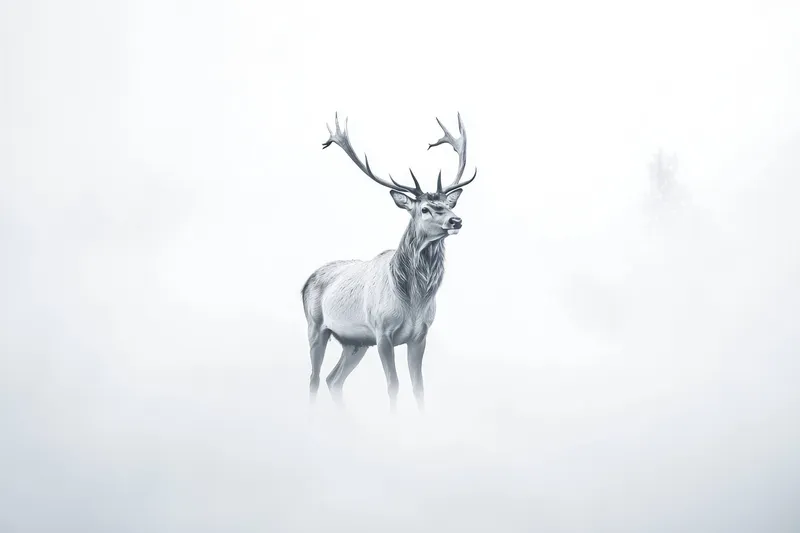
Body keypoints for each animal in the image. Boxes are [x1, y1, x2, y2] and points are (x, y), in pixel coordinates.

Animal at [301, 112, 477, 412]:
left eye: (448, 204)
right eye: (425, 209)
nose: (456, 220)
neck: (414, 299)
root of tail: (307, 280)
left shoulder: (420, 335)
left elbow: (419, 387)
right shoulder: (382, 332)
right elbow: (393, 385)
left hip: (355, 342)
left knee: (333, 379)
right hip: (316, 326)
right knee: (313, 378)